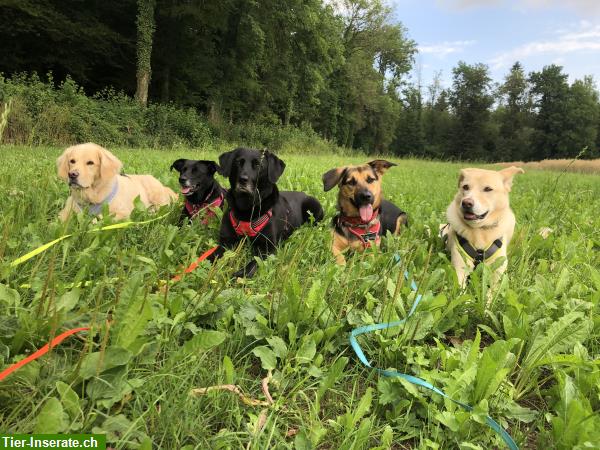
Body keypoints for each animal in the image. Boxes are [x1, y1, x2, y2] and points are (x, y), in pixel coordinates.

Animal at [212, 148, 324, 278]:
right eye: (238, 163)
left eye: (258, 165)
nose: (243, 179)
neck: (247, 209)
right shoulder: (225, 242)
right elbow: (213, 256)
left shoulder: (268, 248)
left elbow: (254, 263)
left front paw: (241, 273)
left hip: (314, 206)